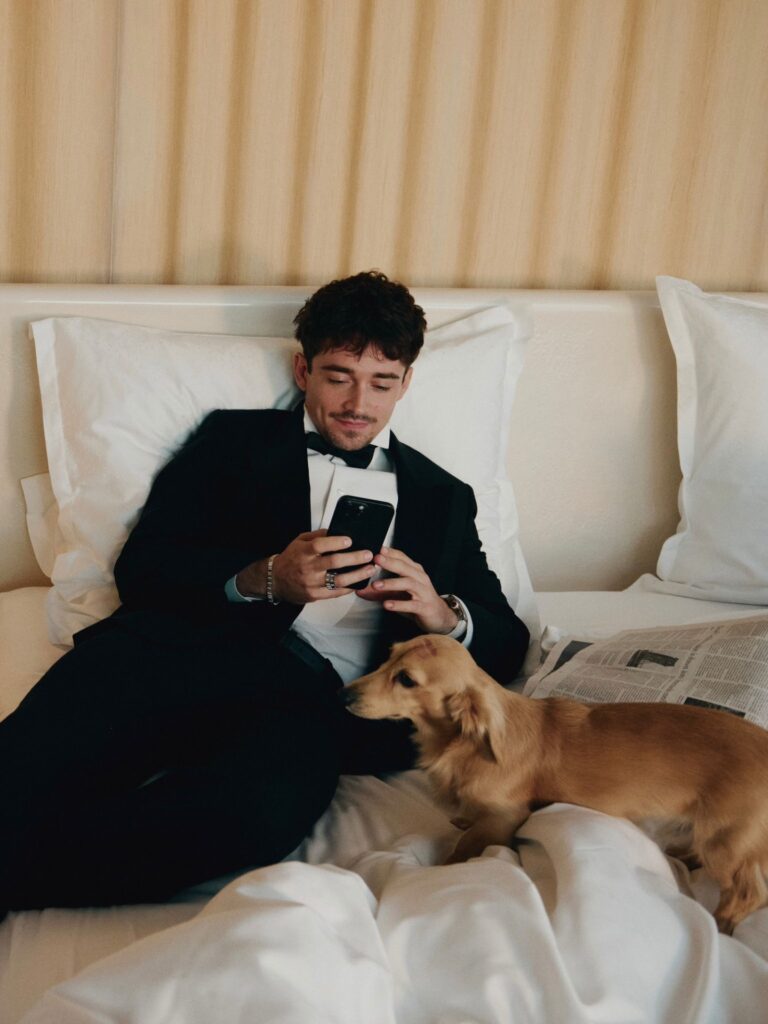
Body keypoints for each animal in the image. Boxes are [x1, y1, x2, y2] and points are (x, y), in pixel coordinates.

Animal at [341, 634, 768, 934]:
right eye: (389, 654)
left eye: (406, 679)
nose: (342, 693)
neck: (460, 744)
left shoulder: (505, 817)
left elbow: (464, 847)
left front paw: (442, 869)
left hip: (724, 839)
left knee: (749, 891)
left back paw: (722, 924)